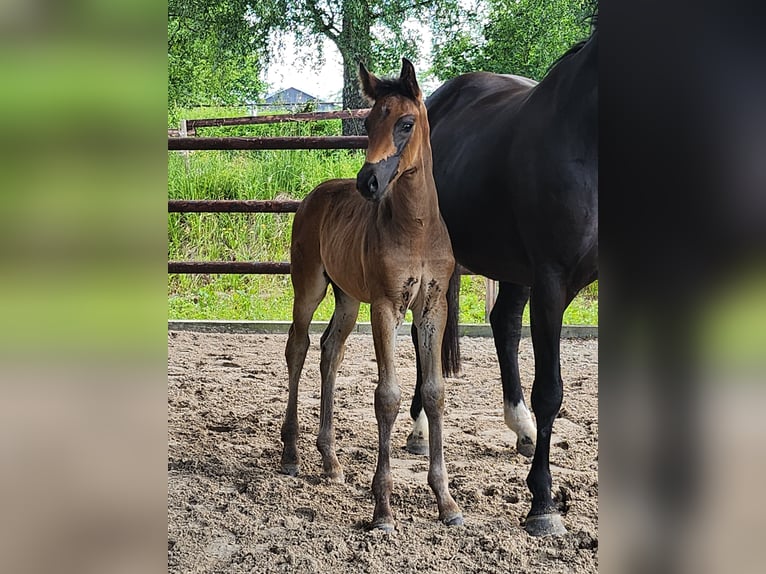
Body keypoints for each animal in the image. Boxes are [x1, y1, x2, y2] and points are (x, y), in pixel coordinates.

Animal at [279, 58, 463, 532]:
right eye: (367, 122)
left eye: (405, 123)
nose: (369, 181)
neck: (417, 229)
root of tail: (315, 193)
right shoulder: (385, 306)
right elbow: (388, 396)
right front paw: (382, 508)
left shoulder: (432, 307)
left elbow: (434, 392)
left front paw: (446, 501)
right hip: (309, 284)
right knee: (298, 347)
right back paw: (290, 453)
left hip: (346, 297)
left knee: (330, 351)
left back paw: (330, 462)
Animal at [406, 30, 598, 537]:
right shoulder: (551, 280)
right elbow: (550, 390)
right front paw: (543, 504)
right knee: (421, 332)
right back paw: (418, 429)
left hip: (513, 270)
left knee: (503, 324)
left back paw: (522, 427)